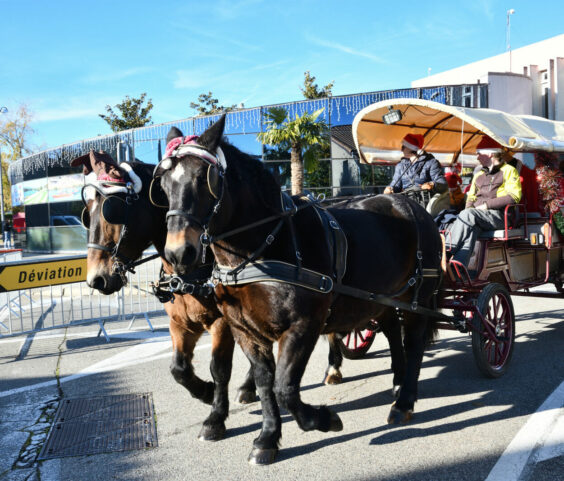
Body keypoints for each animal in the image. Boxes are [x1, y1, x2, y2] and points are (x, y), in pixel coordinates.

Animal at [155, 114, 446, 464]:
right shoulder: (243, 329)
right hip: (385, 297)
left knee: (413, 343)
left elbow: (284, 387)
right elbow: (265, 383)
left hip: (418, 298)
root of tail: (410, 204)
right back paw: (398, 383)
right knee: (391, 331)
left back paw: (404, 402)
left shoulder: (303, 326)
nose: (178, 254)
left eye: (203, 178)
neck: (265, 245)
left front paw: (325, 419)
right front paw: (267, 437)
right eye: (163, 185)